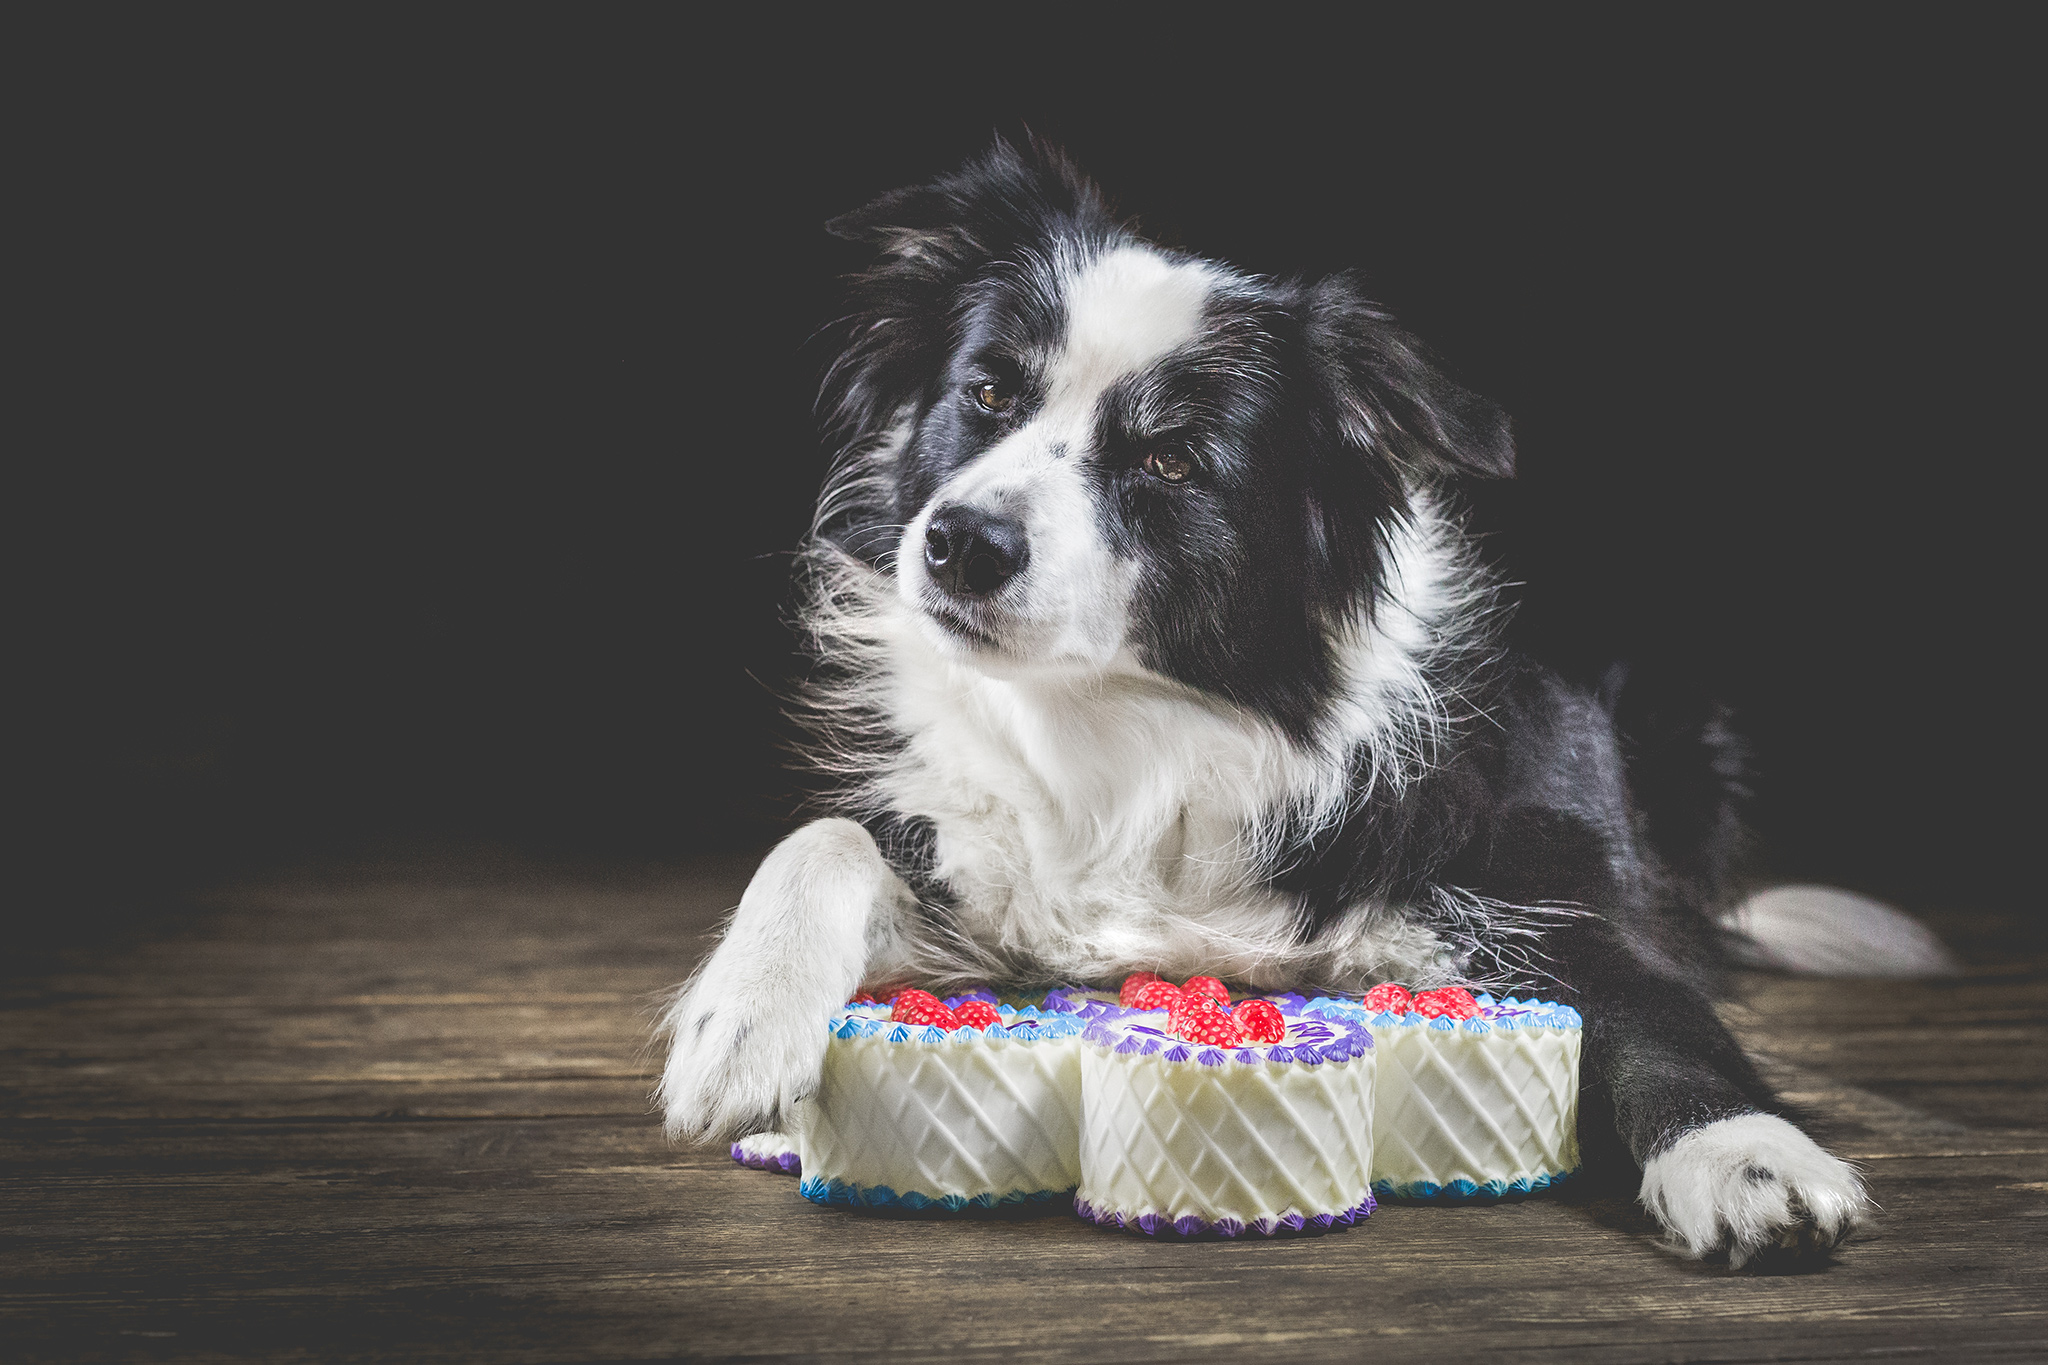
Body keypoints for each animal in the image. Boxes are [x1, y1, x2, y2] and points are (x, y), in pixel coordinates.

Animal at [659, 139, 1949, 1268]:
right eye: (984, 392)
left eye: (1170, 460)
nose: (961, 544)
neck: (1147, 734)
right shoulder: (990, 890)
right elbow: (823, 837)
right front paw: (739, 1021)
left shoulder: (1551, 896)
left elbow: (1667, 1026)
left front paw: (1750, 1160)